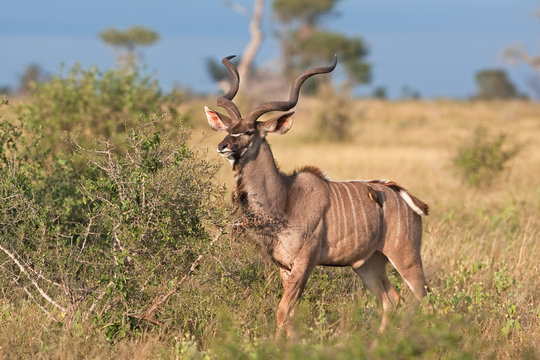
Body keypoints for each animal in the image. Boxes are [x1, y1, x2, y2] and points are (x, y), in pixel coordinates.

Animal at [205, 54, 428, 336]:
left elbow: (283, 311)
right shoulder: (285, 267)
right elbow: (291, 313)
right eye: (228, 129)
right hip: (367, 265)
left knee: (424, 298)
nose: (222, 146)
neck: (285, 199)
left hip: (406, 258)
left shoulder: (304, 263)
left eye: (248, 132)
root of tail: (407, 198)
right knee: (392, 299)